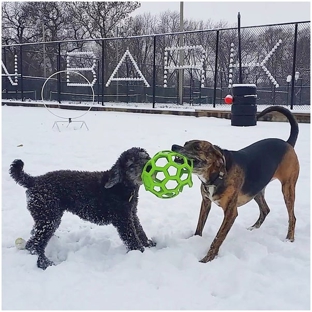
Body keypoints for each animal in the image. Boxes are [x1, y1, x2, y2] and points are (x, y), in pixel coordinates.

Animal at [9, 147, 156, 270]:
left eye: (146, 157)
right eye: (131, 164)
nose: (149, 166)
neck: (122, 187)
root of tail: (34, 180)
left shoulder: (132, 214)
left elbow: (139, 230)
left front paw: (148, 244)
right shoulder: (123, 219)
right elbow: (132, 238)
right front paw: (140, 252)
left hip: (44, 217)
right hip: (49, 218)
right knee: (33, 244)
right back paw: (45, 263)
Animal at [172, 106, 298, 262]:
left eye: (197, 147)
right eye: (185, 144)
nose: (174, 146)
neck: (217, 175)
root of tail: (288, 143)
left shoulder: (230, 213)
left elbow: (218, 238)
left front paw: (207, 259)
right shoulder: (206, 202)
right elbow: (199, 225)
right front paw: (194, 239)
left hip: (288, 188)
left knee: (292, 217)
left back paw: (289, 239)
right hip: (256, 190)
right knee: (265, 209)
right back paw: (253, 228)